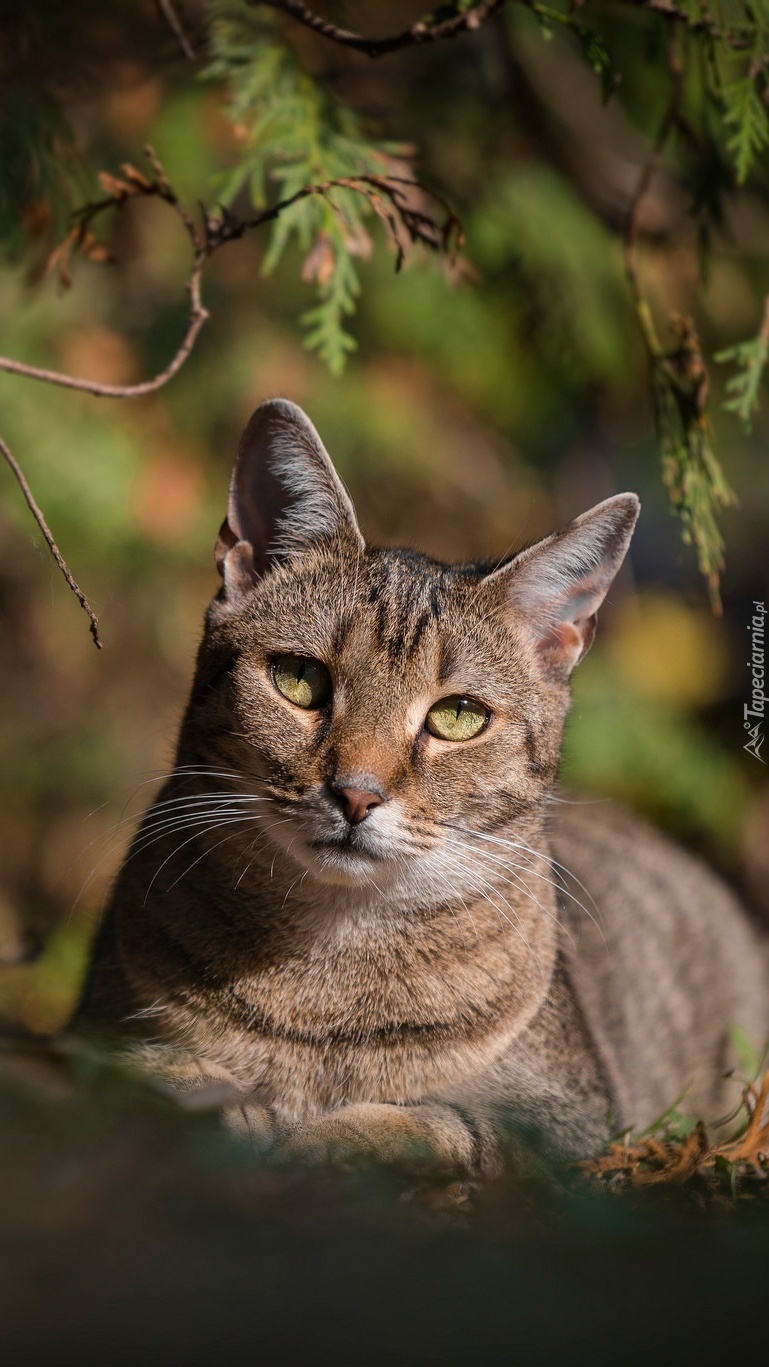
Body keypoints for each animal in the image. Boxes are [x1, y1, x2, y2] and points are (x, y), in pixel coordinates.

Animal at [76, 396, 769, 1175]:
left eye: (457, 716)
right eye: (299, 678)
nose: (356, 794)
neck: (326, 977)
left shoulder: (572, 1122)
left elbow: (448, 1124)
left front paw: (332, 1139)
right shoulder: (92, 1029)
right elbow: (149, 1067)